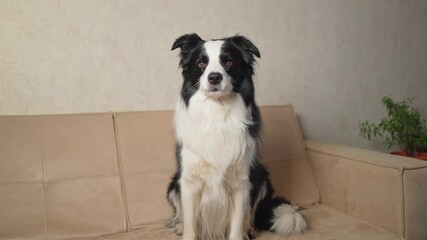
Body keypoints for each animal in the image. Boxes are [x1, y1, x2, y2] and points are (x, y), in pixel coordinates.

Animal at [166, 34, 308, 240]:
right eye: (201, 63)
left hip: (262, 178)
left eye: (228, 61)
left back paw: (251, 229)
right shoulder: (189, 180)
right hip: (172, 185)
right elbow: (191, 226)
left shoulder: (242, 181)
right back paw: (179, 225)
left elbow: (237, 223)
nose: (214, 77)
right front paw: (185, 229)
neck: (217, 113)